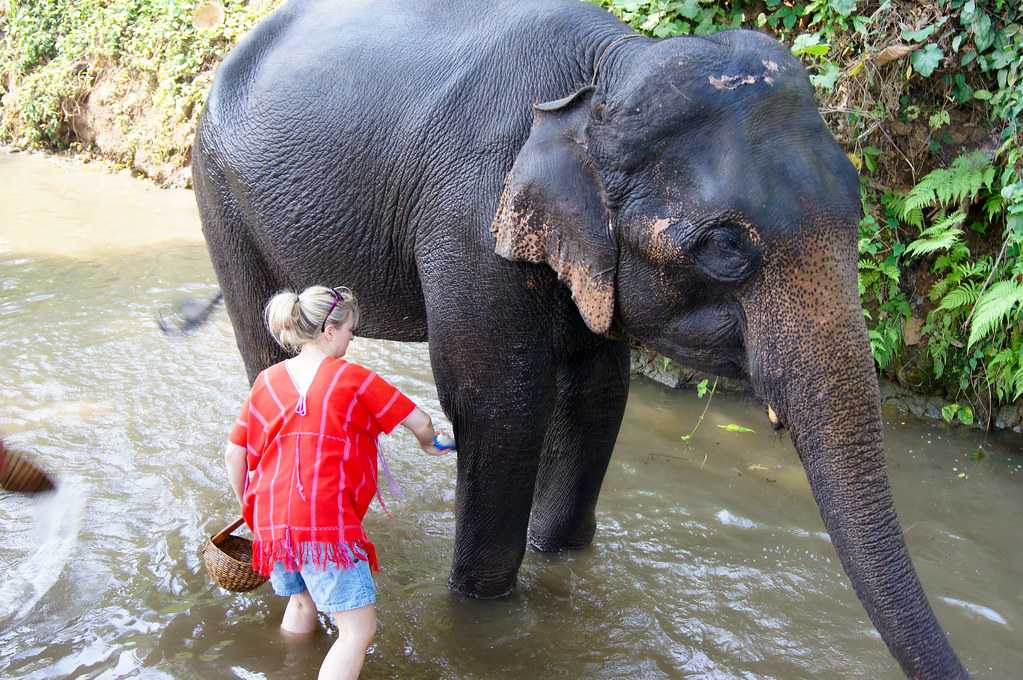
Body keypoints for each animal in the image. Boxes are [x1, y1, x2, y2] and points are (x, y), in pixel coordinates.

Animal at [192, 0, 965, 674]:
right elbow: (498, 406)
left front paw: (557, 555)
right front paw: (483, 608)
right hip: (218, 191)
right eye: (723, 248)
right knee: (265, 350)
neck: (608, 72)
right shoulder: (471, 215)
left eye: (857, 208)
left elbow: (597, 393)